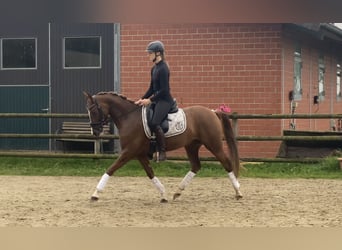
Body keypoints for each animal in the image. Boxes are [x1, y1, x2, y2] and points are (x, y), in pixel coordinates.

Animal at [84, 92, 242, 203]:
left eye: (93, 110)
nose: (95, 132)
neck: (129, 117)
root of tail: (213, 112)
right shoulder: (139, 154)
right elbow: (150, 173)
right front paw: (163, 195)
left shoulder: (129, 152)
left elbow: (111, 169)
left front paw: (95, 194)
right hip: (191, 145)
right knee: (196, 166)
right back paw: (177, 192)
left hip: (214, 145)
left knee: (227, 164)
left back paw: (238, 192)